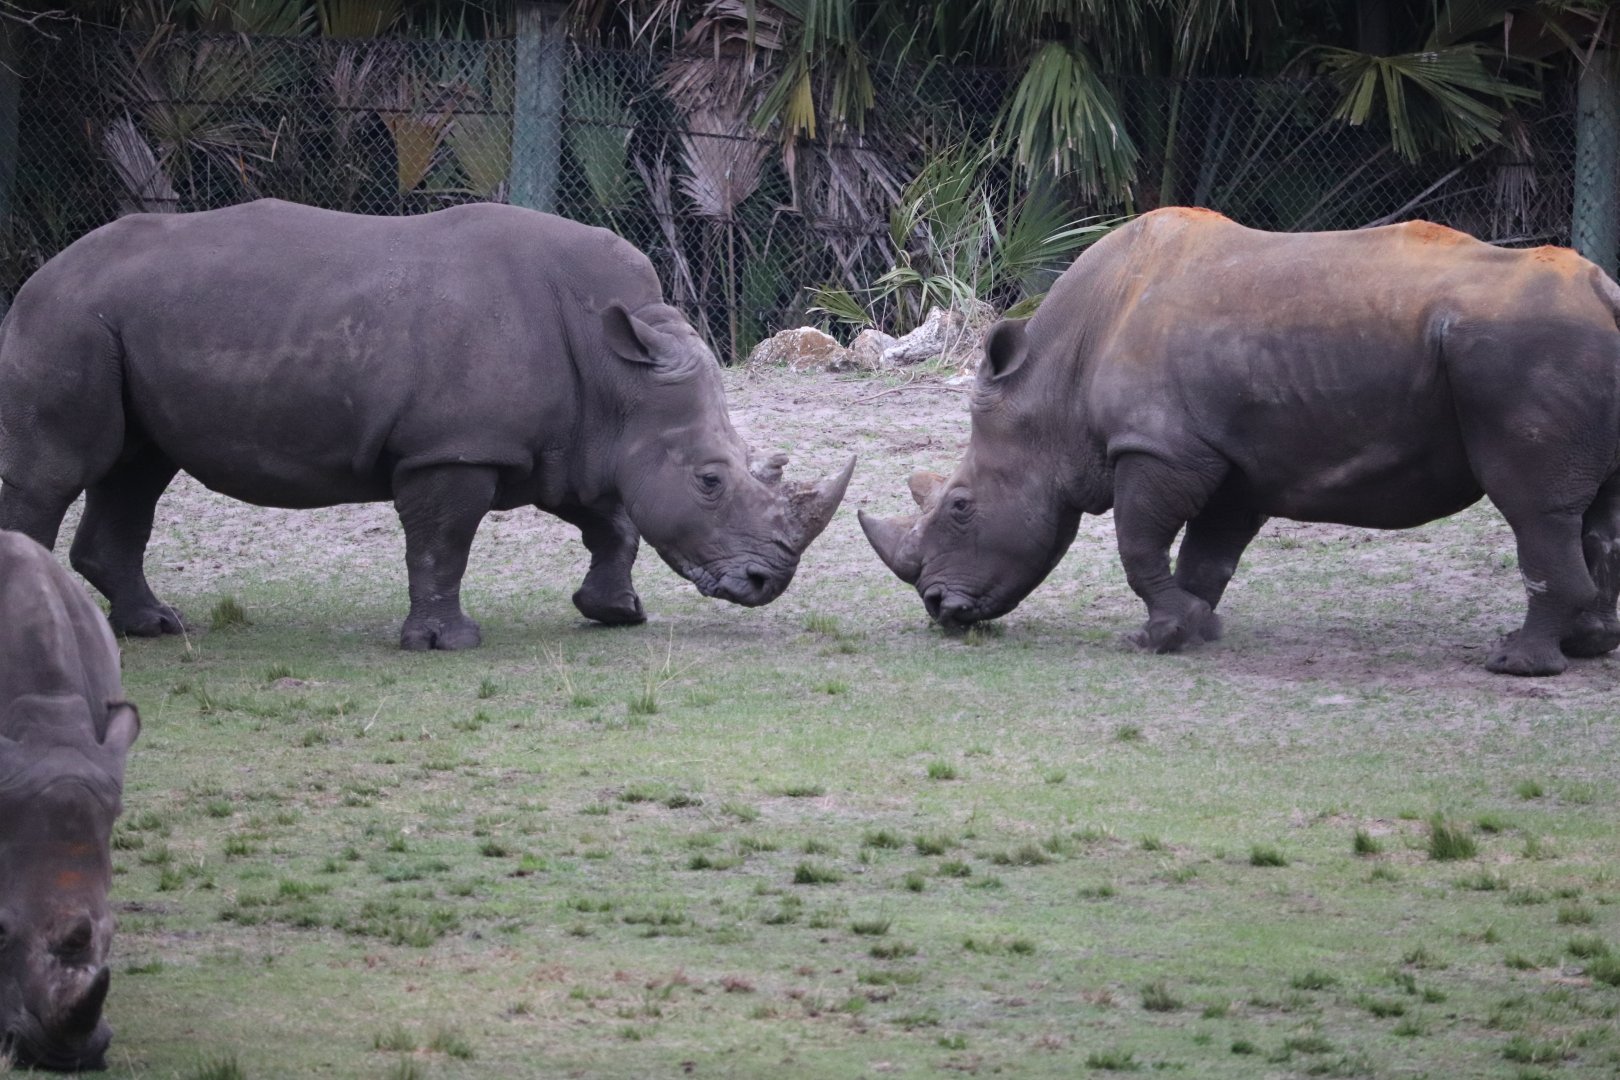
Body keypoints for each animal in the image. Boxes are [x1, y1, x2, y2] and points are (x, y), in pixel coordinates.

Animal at [0, 200, 852, 649]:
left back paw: (153, 626)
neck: (619, 373)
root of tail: (45, 272)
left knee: (136, 470)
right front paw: (447, 643)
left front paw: (616, 614)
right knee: (63, 470)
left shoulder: (572, 444)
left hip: (119, 324)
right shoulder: (454, 450)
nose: (766, 584)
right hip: (67, 317)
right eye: (710, 480)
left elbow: (613, 522)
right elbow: (444, 542)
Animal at [862, 208, 1620, 676]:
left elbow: (1139, 545)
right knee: (1595, 511)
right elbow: (1206, 557)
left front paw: (1155, 639)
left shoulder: (1159, 447)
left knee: (1534, 508)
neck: (1051, 389)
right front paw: (1192, 629)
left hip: (1526, 351)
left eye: (960, 506)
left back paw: (1515, 662)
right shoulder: (1230, 460)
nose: (939, 609)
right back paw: (1588, 647)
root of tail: (1604, 293)